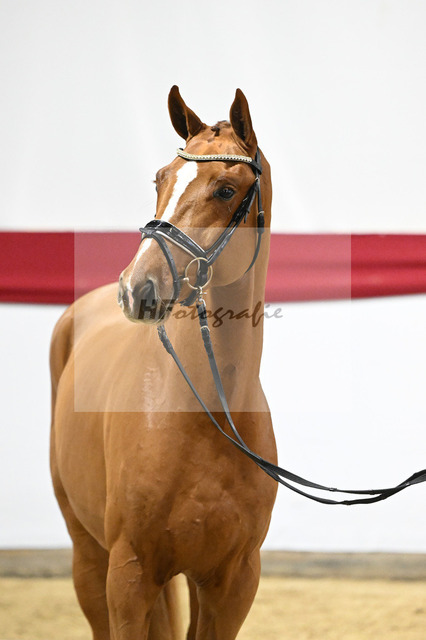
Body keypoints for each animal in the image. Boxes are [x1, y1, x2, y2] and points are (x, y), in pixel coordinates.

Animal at [50, 86, 277, 640]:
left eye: (225, 189)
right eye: (160, 178)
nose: (138, 288)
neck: (208, 414)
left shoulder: (233, 583)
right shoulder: (129, 574)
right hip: (89, 555)